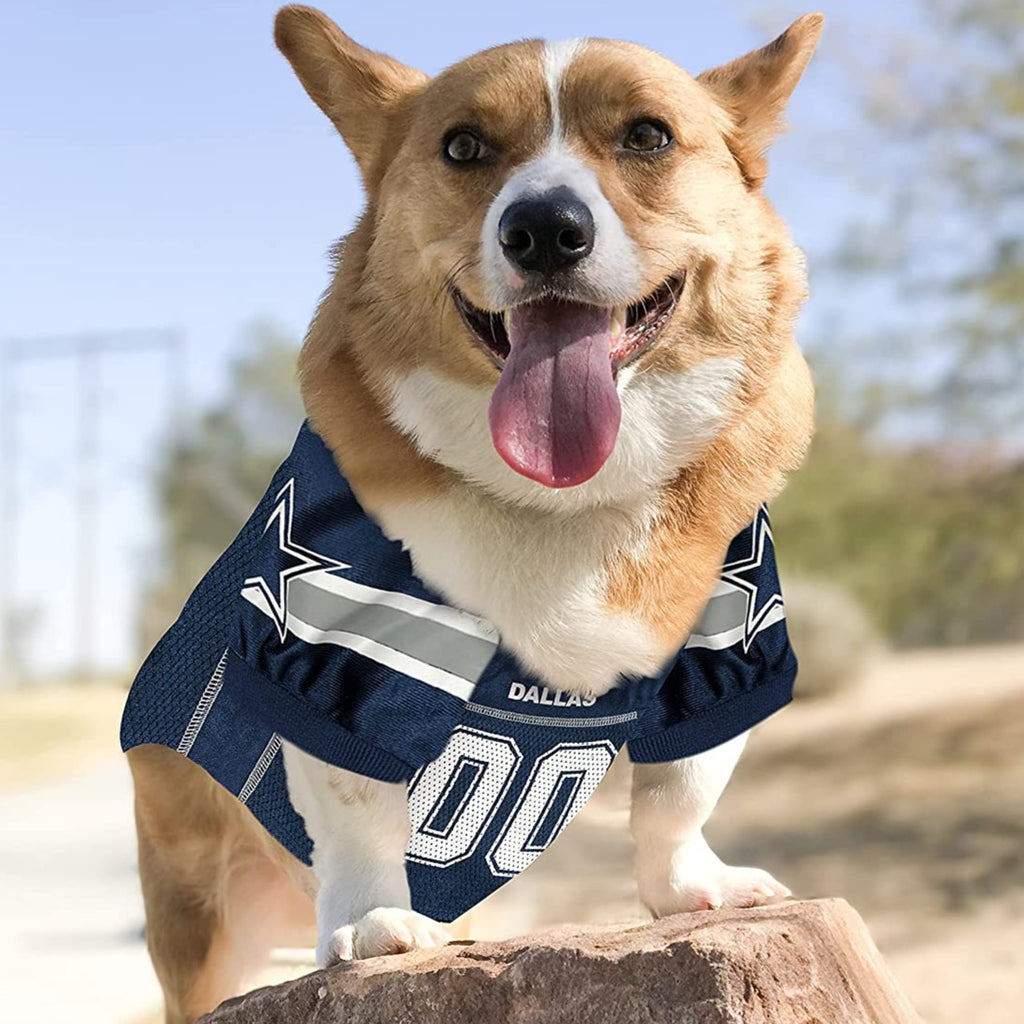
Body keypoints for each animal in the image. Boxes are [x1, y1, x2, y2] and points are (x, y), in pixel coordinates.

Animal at [123, 6, 819, 1015]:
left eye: (648, 135)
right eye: (463, 148)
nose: (544, 229)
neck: (563, 499)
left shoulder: (729, 636)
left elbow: (681, 790)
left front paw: (693, 888)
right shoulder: (336, 646)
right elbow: (362, 808)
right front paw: (374, 923)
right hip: (197, 904)